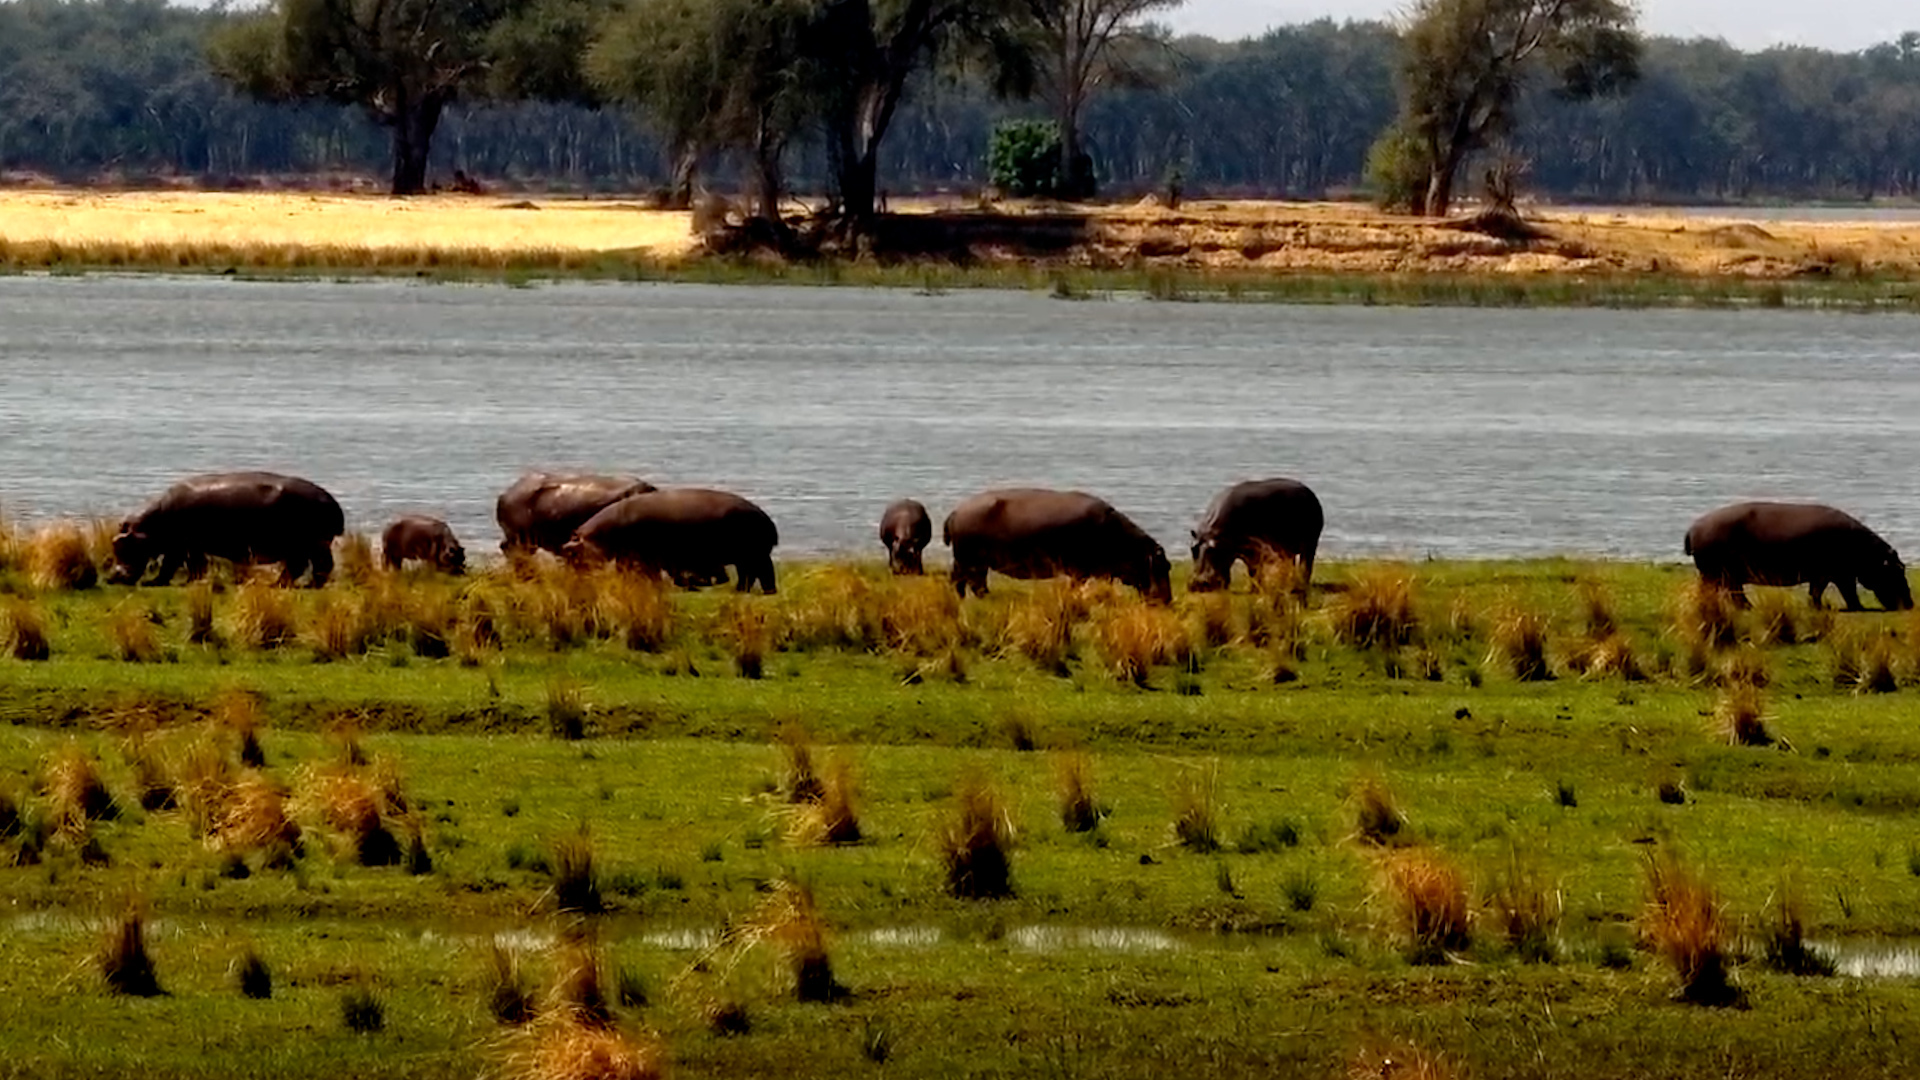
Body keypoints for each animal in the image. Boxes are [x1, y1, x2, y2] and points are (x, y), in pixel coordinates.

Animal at [107, 471, 344, 587]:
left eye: (121, 543)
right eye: (114, 543)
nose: (112, 577)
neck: (148, 525)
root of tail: (331, 500)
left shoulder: (182, 545)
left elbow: (173, 565)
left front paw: (155, 582)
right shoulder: (188, 546)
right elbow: (191, 565)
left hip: (307, 543)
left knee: (310, 566)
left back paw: (289, 585)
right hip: (309, 544)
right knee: (309, 566)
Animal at [562, 487, 779, 593]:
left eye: (570, 550)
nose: (572, 581)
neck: (598, 534)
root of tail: (767, 519)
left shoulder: (642, 555)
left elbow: (647, 572)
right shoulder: (633, 556)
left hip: (753, 554)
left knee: (759, 572)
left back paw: (754, 591)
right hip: (748, 556)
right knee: (752, 574)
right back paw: (745, 591)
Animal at [942, 488, 1172, 603]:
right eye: (1164, 566)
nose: (1169, 600)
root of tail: (956, 510)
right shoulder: (1080, 570)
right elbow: (1076, 587)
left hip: (972, 561)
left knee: (967, 582)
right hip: (969, 559)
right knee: (966, 581)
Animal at [1189, 478, 1324, 593]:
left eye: (1213, 550)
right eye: (1193, 548)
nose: (1198, 585)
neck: (1214, 533)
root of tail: (1310, 492)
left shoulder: (1252, 551)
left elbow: (1253, 570)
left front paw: (1253, 589)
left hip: (1311, 543)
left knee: (1306, 565)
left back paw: (1301, 585)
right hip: (1289, 549)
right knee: (1292, 565)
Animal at [1684, 501, 1913, 611]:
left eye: (1903, 567)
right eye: (1898, 570)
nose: (1910, 604)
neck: (1872, 555)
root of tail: (1694, 526)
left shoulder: (1829, 574)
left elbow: (1818, 592)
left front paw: (1818, 607)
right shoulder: (1838, 574)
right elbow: (1847, 592)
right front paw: (1858, 608)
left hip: (1719, 573)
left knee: (1727, 593)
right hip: (1719, 572)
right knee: (1729, 593)